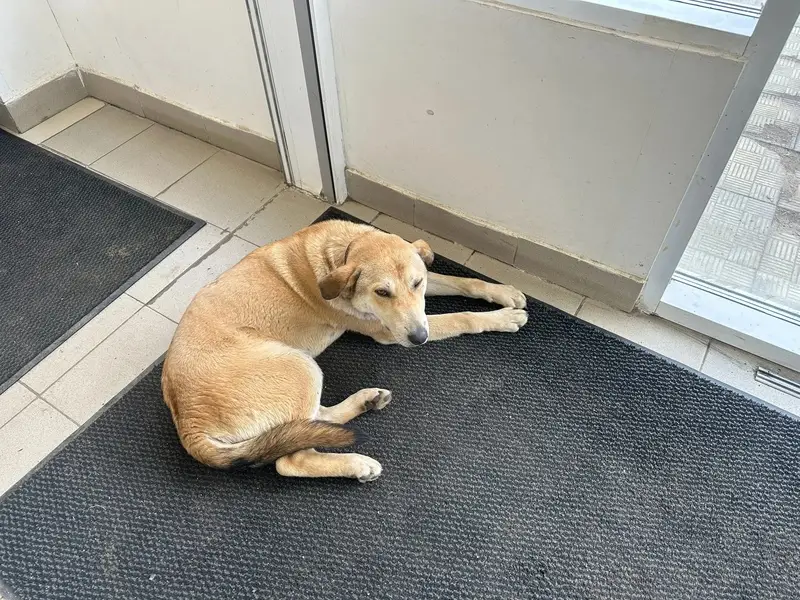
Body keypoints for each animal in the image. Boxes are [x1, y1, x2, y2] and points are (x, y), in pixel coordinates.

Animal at [162, 218, 528, 482]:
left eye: (417, 283)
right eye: (382, 292)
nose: (419, 338)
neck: (341, 252)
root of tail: (187, 422)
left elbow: (464, 282)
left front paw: (504, 292)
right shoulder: (389, 332)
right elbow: (459, 318)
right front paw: (501, 318)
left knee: (312, 421)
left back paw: (366, 401)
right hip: (298, 366)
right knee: (292, 458)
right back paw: (356, 464)